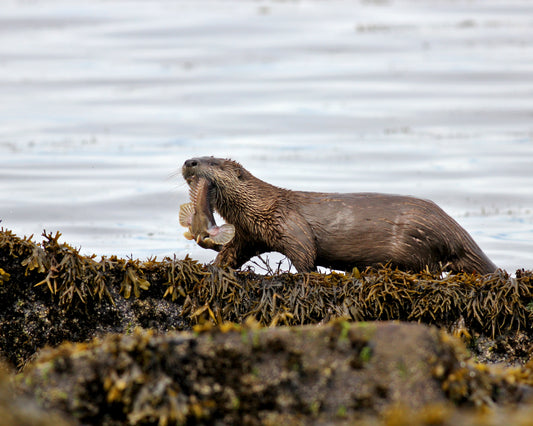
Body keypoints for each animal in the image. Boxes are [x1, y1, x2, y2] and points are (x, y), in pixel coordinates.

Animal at [181, 156, 496, 272]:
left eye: (212, 161)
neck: (263, 206)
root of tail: (454, 230)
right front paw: (213, 268)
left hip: (416, 242)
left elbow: (305, 253)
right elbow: (230, 254)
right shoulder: (250, 234)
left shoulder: (288, 223)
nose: (190, 161)